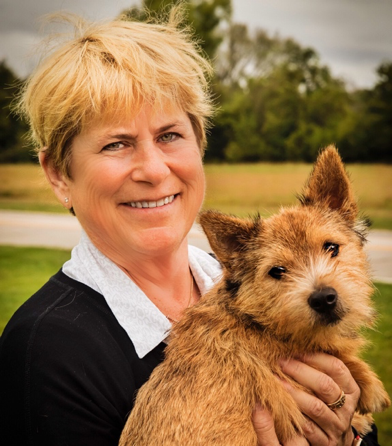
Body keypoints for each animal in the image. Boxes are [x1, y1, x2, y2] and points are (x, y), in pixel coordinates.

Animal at [121, 145, 390, 442]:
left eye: (332, 248)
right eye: (277, 271)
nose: (323, 298)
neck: (259, 323)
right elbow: (345, 359)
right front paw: (369, 392)